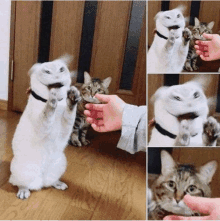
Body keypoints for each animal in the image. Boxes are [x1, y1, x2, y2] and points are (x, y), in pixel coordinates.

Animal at [9, 54, 81, 199]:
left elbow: (70, 111)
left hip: (60, 164)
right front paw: (51, 98)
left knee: (50, 181)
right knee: (19, 183)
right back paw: (23, 192)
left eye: (61, 69)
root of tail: (41, 177)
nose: (57, 76)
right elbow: (47, 113)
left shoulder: (66, 128)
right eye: (47, 71)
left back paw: (59, 184)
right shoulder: (41, 128)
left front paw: (73, 96)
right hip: (22, 171)